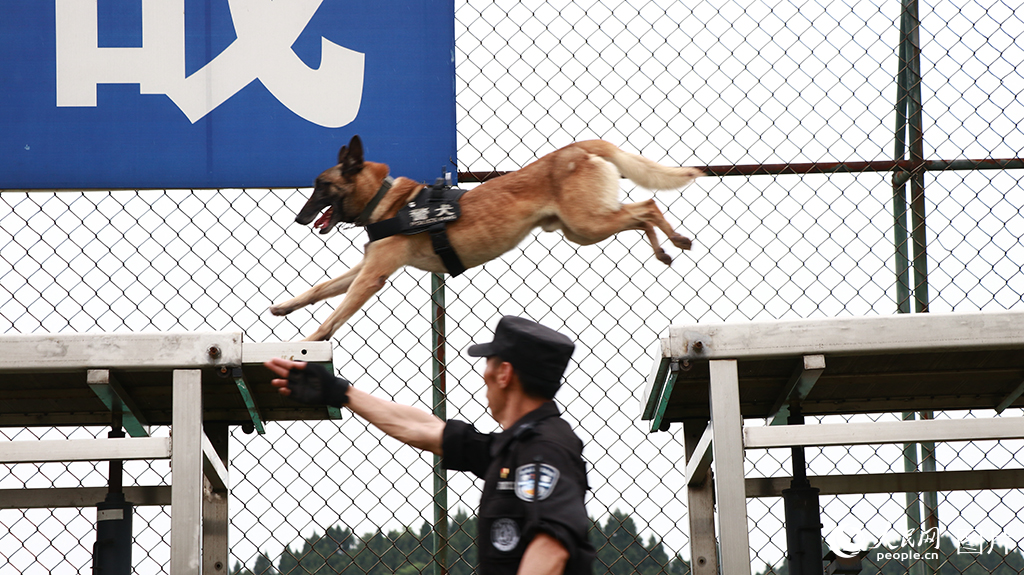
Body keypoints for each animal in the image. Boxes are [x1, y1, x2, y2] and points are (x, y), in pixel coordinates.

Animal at [270, 134, 704, 339]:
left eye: (321, 187)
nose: (298, 218)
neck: (384, 199)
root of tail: (577, 147)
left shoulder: (372, 275)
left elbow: (333, 316)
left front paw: (310, 340)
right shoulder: (366, 267)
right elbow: (320, 289)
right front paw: (285, 307)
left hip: (587, 224)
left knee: (648, 205)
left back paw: (675, 241)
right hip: (582, 230)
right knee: (640, 216)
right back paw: (664, 250)